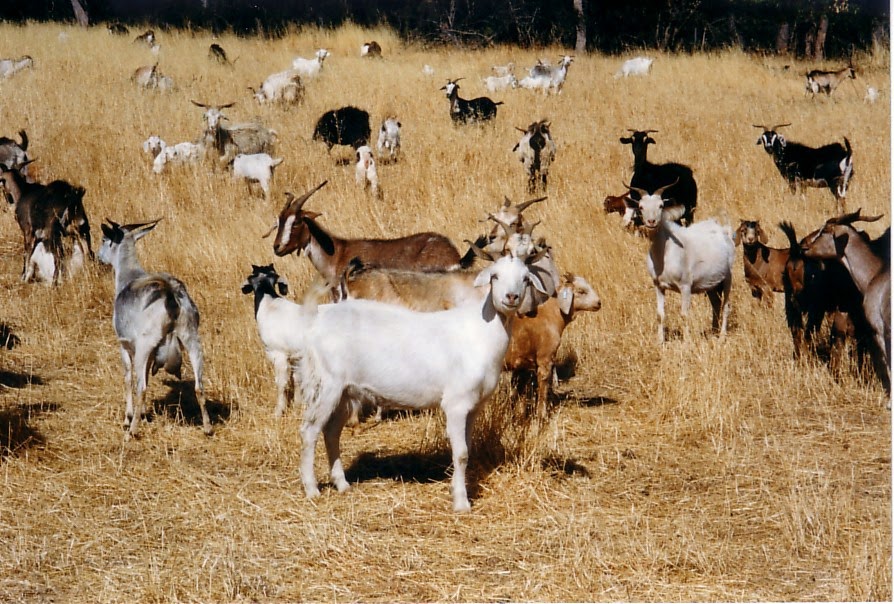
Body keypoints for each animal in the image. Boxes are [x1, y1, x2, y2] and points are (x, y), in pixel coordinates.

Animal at [98, 219, 211, 438]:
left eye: (104, 239)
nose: (99, 258)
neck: (129, 275)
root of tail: (170, 295)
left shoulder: (125, 345)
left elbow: (128, 378)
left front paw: (128, 418)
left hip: (144, 345)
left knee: (140, 387)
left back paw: (132, 431)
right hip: (192, 338)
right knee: (199, 386)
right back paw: (208, 428)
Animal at [242, 254, 547, 512]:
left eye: (525, 279)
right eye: (495, 276)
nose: (511, 296)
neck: (481, 331)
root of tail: (315, 322)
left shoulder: (474, 405)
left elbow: (467, 451)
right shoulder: (456, 403)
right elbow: (460, 454)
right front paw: (461, 502)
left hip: (345, 392)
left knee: (331, 433)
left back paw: (342, 484)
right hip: (326, 383)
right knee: (309, 431)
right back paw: (311, 489)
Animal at [624, 181, 733, 343]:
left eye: (661, 205)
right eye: (641, 207)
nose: (651, 222)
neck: (666, 253)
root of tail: (724, 230)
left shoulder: (685, 286)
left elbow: (684, 315)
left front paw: (687, 342)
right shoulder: (658, 285)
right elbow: (660, 315)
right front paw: (660, 342)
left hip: (727, 278)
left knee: (726, 306)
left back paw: (721, 337)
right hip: (712, 283)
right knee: (715, 304)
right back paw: (714, 332)